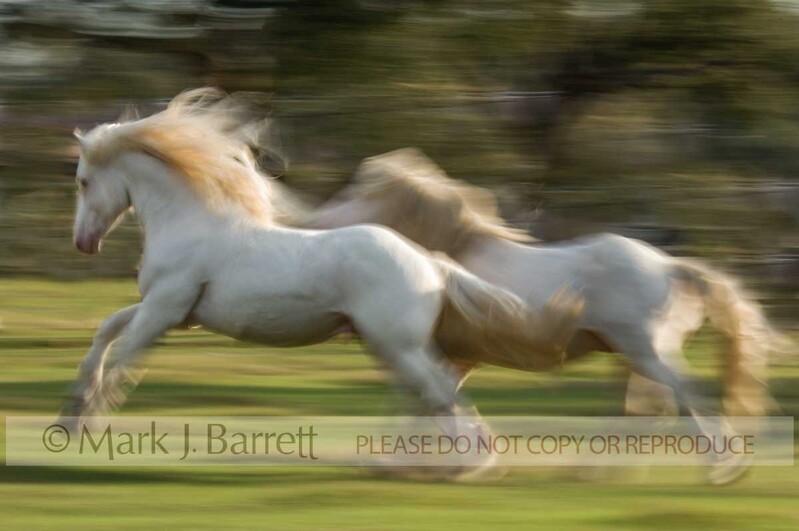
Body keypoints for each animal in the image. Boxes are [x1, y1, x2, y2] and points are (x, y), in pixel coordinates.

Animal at [62, 90, 581, 480]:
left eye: (84, 181)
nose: (83, 243)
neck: (191, 223)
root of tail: (432, 265)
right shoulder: (174, 311)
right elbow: (106, 331)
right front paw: (71, 414)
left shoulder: (165, 308)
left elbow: (124, 358)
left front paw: (90, 424)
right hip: (389, 346)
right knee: (432, 390)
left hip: (397, 344)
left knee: (438, 390)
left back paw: (468, 465)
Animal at [297, 148, 789, 484]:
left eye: (360, 192)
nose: (313, 221)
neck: (447, 263)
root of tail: (671, 267)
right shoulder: (455, 354)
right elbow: (426, 400)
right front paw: (423, 461)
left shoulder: (431, 350)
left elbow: (423, 398)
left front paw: (409, 462)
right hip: (631, 356)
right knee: (647, 409)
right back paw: (597, 472)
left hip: (647, 352)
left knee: (686, 395)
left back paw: (722, 468)